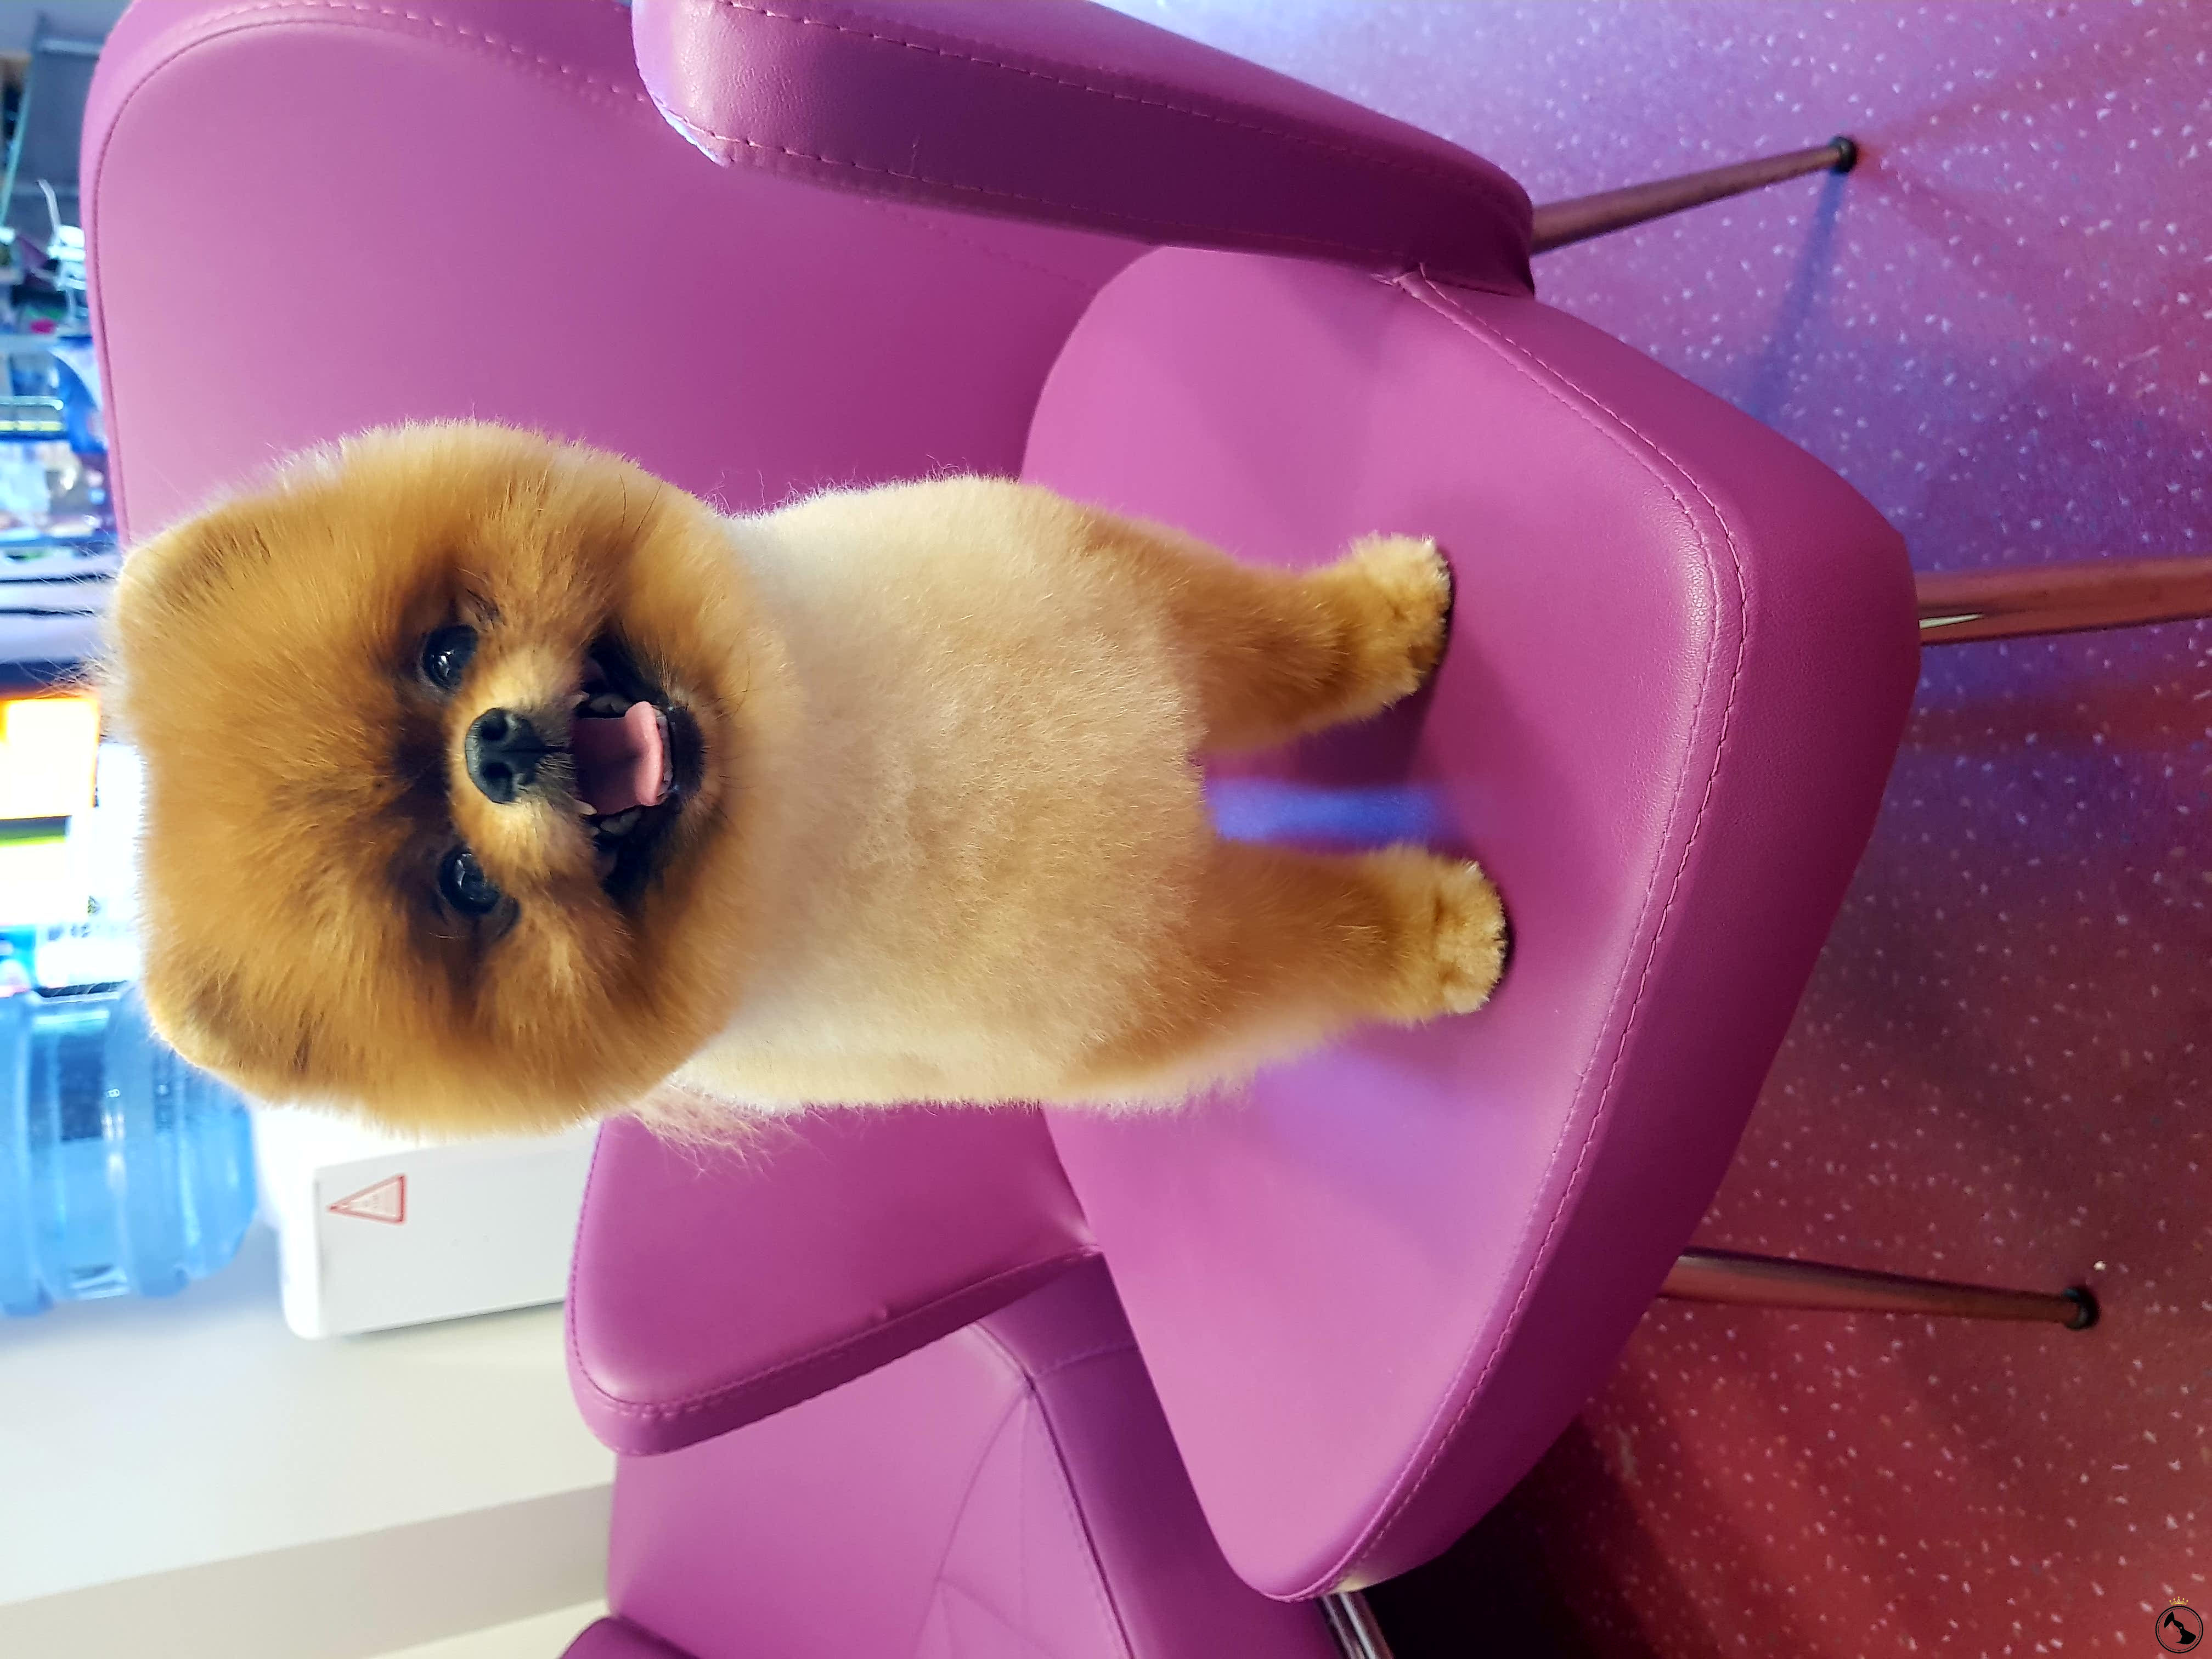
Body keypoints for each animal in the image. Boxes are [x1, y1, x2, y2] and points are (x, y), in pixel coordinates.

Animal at [106, 422, 1505, 1139]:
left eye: (442, 653)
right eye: (464, 890)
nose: (492, 747)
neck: (845, 756)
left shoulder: (1128, 601)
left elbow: (1286, 641)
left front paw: (1393, 615)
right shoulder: (1150, 975)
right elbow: (1321, 941)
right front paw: (1443, 939)